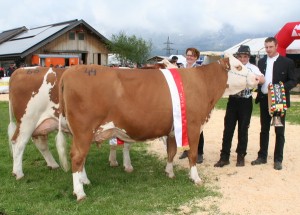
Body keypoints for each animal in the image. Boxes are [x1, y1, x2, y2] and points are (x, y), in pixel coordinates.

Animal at [56, 53, 260, 200]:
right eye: (239, 66)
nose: (259, 78)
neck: (203, 84)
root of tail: (71, 71)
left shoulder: (173, 129)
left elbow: (171, 152)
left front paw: (169, 172)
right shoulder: (193, 126)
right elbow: (193, 154)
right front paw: (195, 178)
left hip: (81, 133)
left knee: (81, 158)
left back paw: (85, 181)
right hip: (83, 130)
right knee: (77, 157)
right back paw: (80, 192)